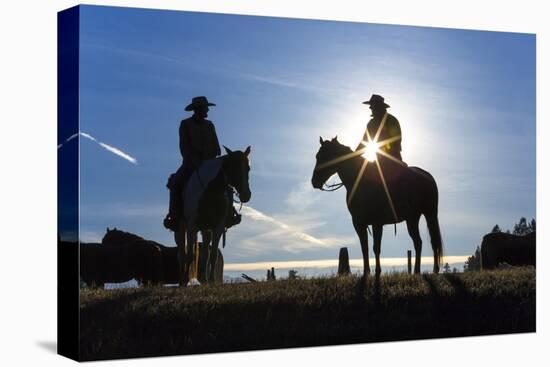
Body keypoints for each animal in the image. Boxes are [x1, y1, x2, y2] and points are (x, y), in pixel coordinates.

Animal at [177, 147, 252, 288]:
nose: (246, 195)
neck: (210, 190)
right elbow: (190, 254)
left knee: (205, 252)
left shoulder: (218, 227)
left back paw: (205, 280)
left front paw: (211, 280)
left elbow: (213, 255)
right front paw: (184, 280)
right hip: (183, 228)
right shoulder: (192, 226)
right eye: (233, 167)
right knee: (182, 250)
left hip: (206, 229)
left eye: (248, 168)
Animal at [310, 138, 444, 278]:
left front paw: (377, 272)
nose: (314, 181)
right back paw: (416, 271)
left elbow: (376, 247)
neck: (360, 180)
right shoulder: (358, 223)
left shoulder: (376, 223)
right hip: (412, 219)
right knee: (418, 242)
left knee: (433, 241)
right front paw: (366, 272)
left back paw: (435, 270)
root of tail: (427, 176)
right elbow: (365, 247)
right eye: (317, 156)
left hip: (430, 214)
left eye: (325, 155)